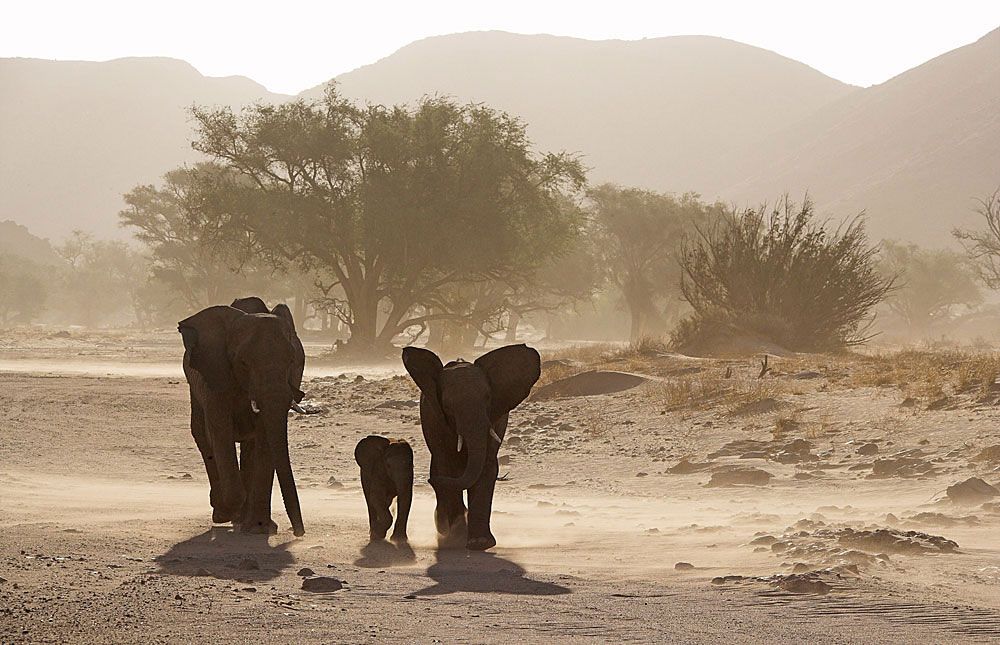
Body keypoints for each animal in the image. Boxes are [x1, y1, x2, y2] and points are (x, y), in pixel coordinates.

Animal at [178, 296, 307, 537]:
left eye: (292, 361)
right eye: (244, 363)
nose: (299, 533)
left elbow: (265, 439)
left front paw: (260, 529)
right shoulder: (214, 376)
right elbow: (220, 432)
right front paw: (228, 513)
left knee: (250, 447)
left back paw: (242, 519)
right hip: (194, 389)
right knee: (203, 437)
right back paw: (224, 514)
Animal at [402, 344, 540, 551]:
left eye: (488, 398)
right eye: (448, 406)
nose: (429, 481)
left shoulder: (495, 419)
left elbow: (486, 466)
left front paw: (480, 543)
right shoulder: (436, 420)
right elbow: (448, 466)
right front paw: (457, 537)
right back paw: (446, 529)